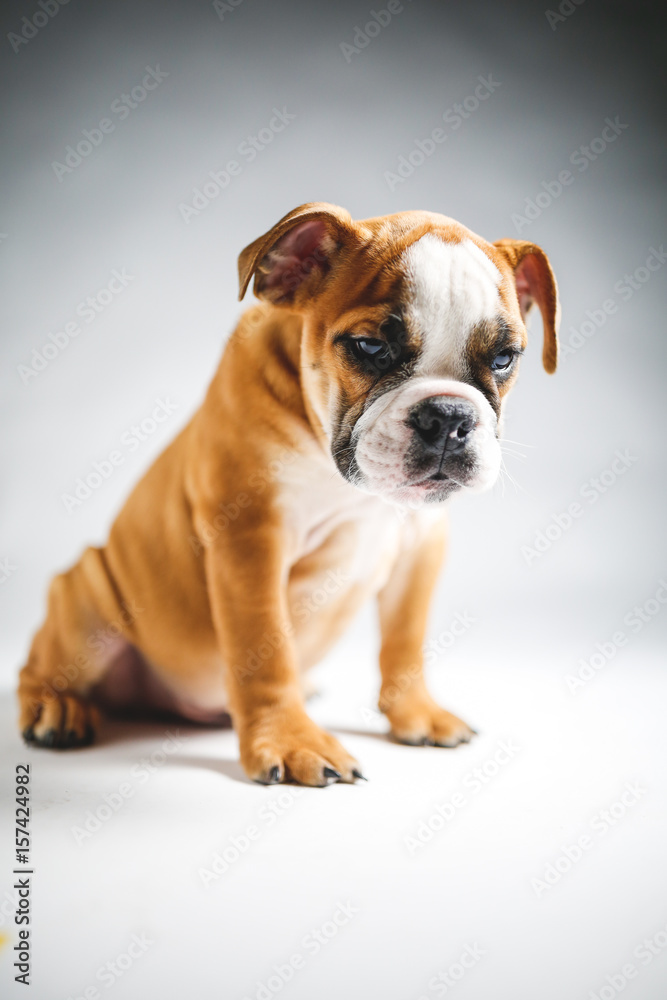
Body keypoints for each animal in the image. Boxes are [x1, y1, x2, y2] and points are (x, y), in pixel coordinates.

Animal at [17, 199, 560, 784]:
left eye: (504, 358)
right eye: (371, 348)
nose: (449, 416)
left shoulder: (420, 548)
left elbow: (405, 640)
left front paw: (416, 714)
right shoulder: (250, 542)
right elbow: (265, 650)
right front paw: (290, 740)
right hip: (85, 598)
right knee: (40, 665)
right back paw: (54, 708)